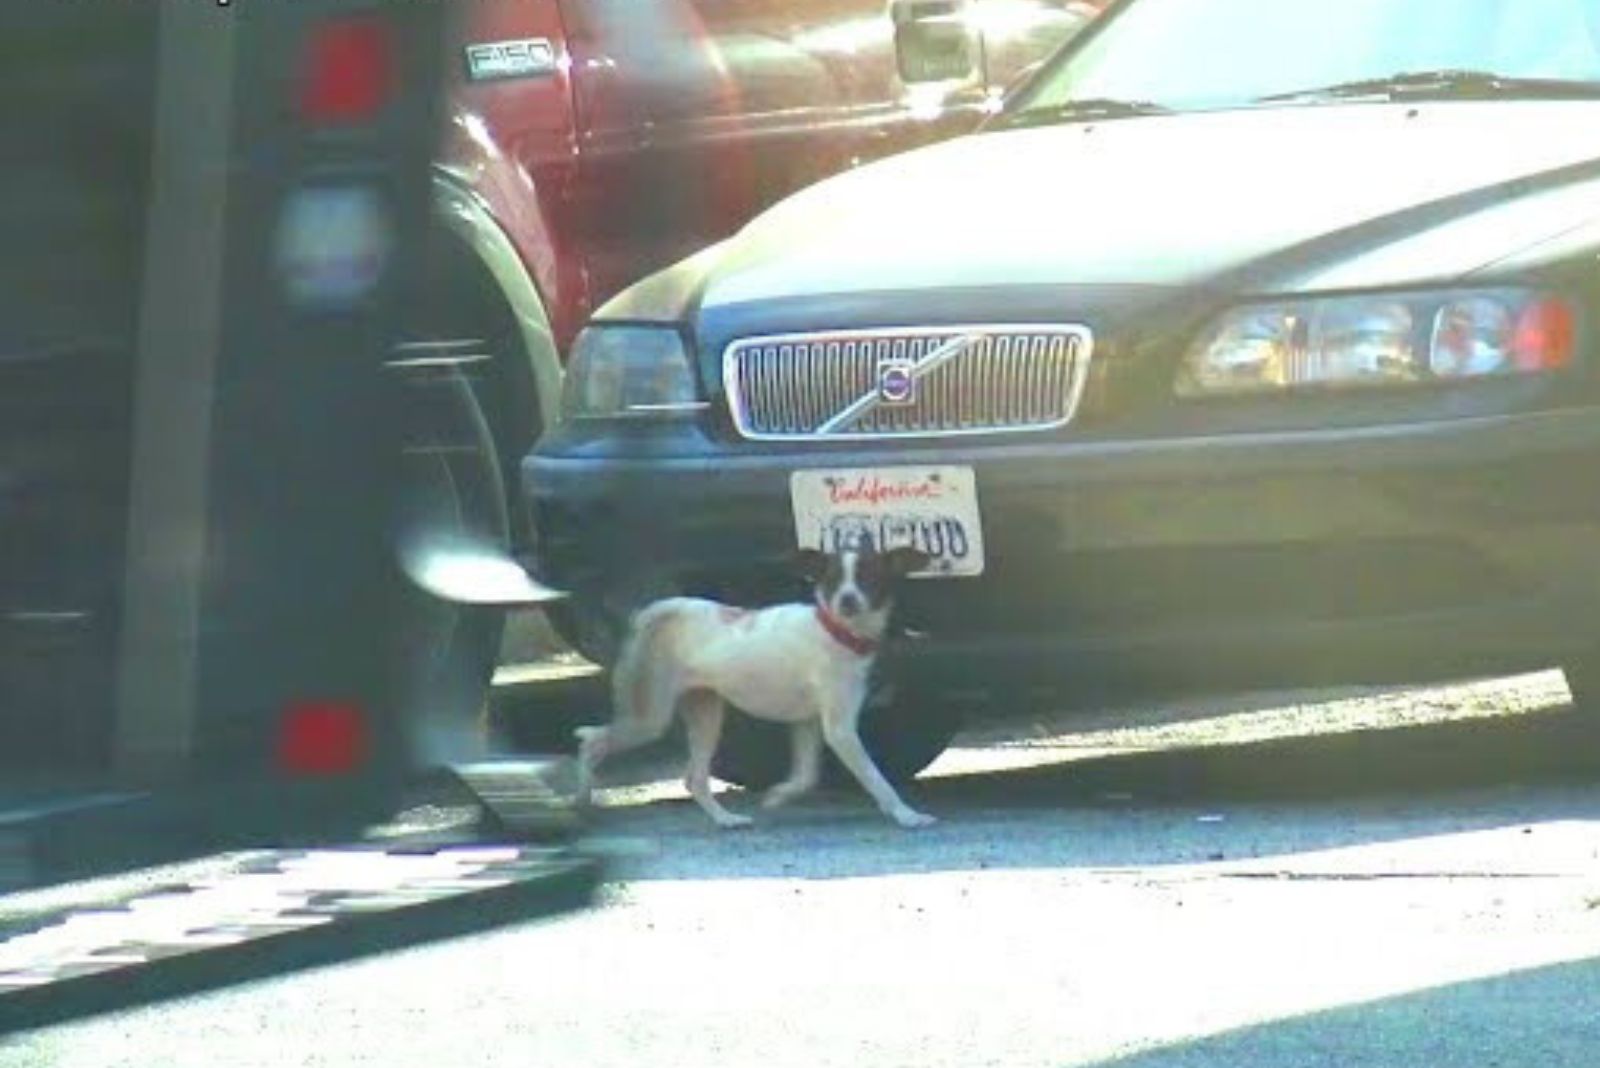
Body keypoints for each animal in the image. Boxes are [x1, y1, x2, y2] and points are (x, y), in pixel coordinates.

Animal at [572, 546, 934, 831]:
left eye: (868, 578)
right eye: (831, 580)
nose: (847, 600)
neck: (835, 632)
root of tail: (652, 613)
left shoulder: (807, 723)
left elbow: (806, 776)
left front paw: (778, 796)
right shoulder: (840, 730)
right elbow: (876, 779)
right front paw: (907, 814)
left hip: (706, 714)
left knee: (694, 779)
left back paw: (726, 819)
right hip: (649, 718)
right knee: (593, 742)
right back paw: (581, 801)